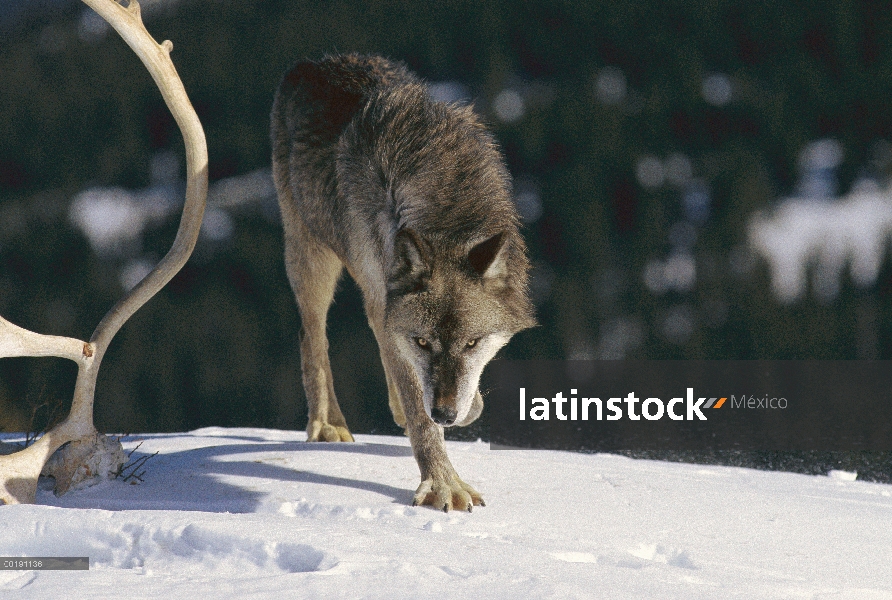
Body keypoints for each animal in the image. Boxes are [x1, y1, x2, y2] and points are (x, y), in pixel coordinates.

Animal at [268, 55, 532, 510]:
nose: (445, 413)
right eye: (423, 342)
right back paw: (326, 426)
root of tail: (313, 62)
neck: (445, 210)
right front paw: (444, 484)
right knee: (312, 336)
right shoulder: (394, 313)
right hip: (312, 254)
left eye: (473, 343)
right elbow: (419, 413)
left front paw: (457, 413)